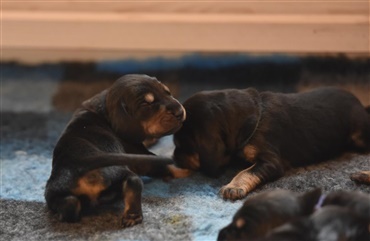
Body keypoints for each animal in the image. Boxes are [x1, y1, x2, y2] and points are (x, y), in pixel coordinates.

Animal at [44, 74, 188, 227]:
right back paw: (132, 216)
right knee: (135, 180)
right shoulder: (136, 150)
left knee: (71, 203)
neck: (104, 107)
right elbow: (164, 165)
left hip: (54, 192)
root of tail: (82, 160)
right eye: (146, 104)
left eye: (167, 92)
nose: (180, 111)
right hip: (118, 171)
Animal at [173, 86, 370, 200]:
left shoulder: (270, 161)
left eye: (182, 146)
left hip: (359, 134)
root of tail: (360, 103)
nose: (174, 157)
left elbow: (246, 172)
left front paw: (232, 187)